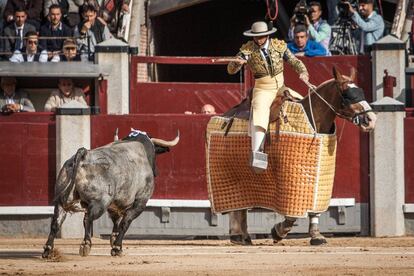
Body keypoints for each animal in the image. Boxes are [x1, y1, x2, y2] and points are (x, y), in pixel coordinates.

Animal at [42, 129, 180, 256]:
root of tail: (84, 154)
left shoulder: (115, 205)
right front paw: (117, 247)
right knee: (87, 218)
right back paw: (86, 244)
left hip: (62, 201)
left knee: (56, 222)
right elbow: (125, 222)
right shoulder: (140, 201)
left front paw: (115, 242)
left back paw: (48, 249)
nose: (156, 172)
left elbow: (117, 223)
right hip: (100, 202)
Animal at [217, 66, 376, 246]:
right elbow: (292, 213)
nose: (371, 119)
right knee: (235, 206)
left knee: (241, 205)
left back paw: (243, 237)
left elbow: (313, 207)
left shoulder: (315, 176)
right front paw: (279, 231)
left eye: (361, 92)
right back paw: (238, 235)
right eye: (347, 94)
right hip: (228, 173)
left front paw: (316, 235)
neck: (313, 121)